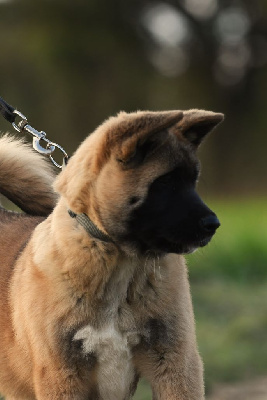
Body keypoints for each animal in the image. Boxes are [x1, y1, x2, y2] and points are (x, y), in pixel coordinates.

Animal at [0, 109, 224, 400]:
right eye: (165, 182)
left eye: (193, 181)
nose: (213, 224)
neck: (121, 263)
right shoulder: (62, 376)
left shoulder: (177, 364)